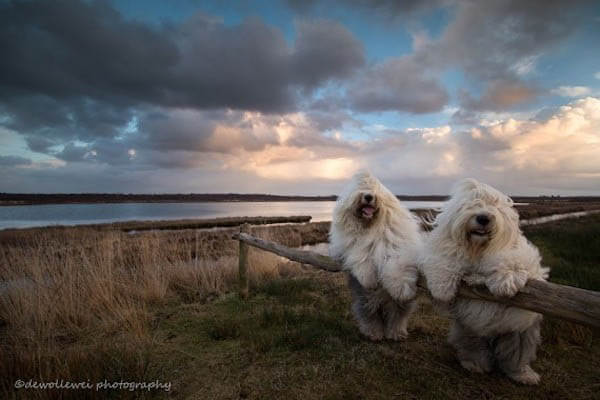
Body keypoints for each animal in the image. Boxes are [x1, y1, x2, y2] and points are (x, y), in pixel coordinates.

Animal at [328, 171, 422, 340]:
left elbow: (396, 265)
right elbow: (362, 258)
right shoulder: (354, 247)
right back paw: (374, 333)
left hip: (398, 306)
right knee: (369, 316)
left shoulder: (395, 246)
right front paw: (369, 279)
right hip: (364, 299)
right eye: (360, 188)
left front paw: (401, 289)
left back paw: (396, 333)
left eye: (375, 189)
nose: (368, 196)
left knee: (398, 316)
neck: (371, 227)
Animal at [420, 179, 552, 384]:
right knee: (474, 345)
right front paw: (442, 286)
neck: (478, 249)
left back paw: (523, 374)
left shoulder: (523, 259)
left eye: (495, 206)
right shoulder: (442, 249)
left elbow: (513, 261)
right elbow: (445, 260)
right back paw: (475, 363)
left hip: (520, 332)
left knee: (516, 353)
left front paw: (505, 282)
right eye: (472, 204)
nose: (483, 218)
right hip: (469, 328)